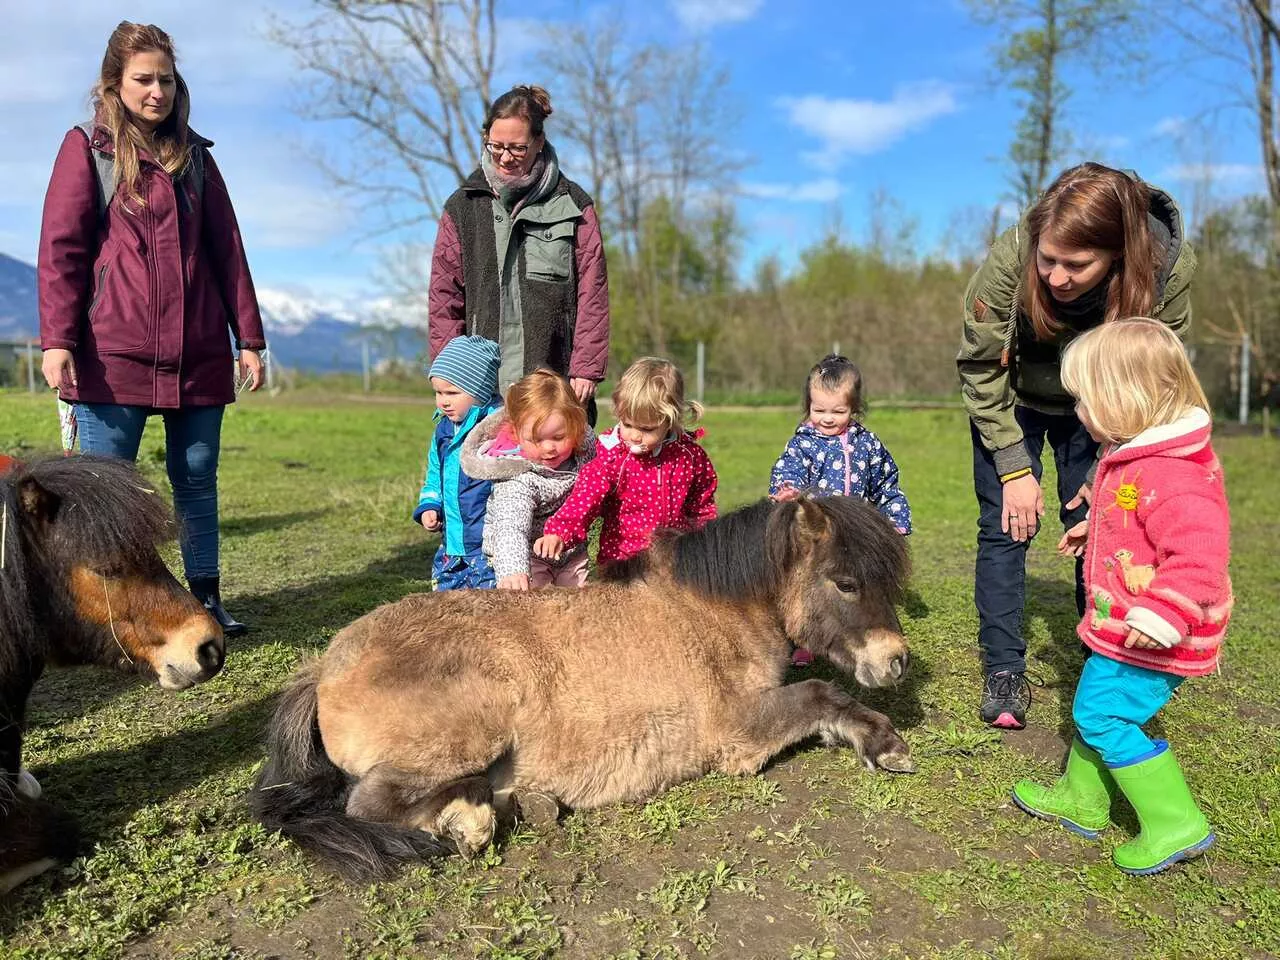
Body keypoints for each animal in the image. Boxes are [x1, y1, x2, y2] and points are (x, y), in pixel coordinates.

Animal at [247, 499, 911, 885]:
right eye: (845, 582)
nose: (896, 662)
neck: (709, 610)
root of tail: (324, 666)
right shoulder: (738, 730)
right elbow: (819, 694)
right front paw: (885, 743)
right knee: (370, 806)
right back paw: (467, 823)